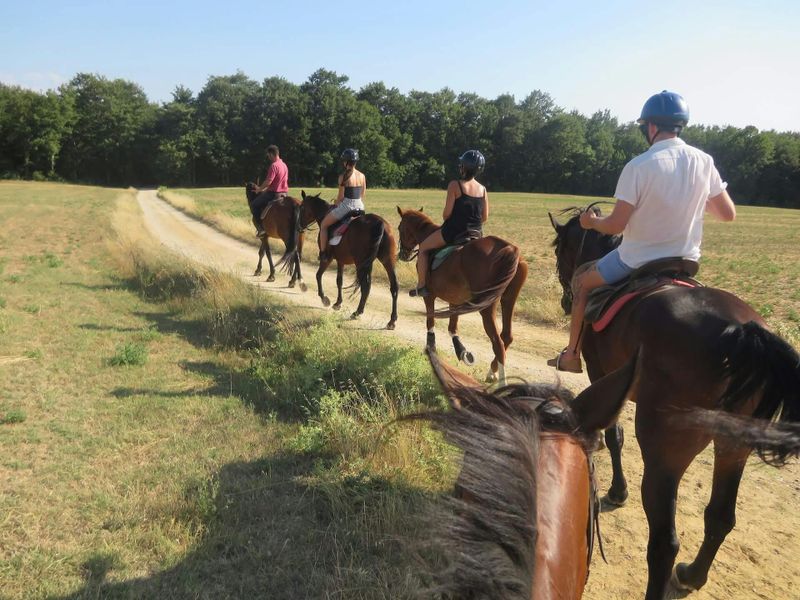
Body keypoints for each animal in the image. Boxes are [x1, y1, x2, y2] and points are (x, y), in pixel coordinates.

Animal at [292, 191, 399, 329]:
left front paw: (324, 298)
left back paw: (357, 312)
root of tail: (379, 222)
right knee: (393, 287)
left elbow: (319, 275)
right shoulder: (341, 261)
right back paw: (392, 320)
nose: (299, 227)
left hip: (361, 262)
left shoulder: (328, 258)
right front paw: (338, 303)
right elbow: (339, 281)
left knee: (365, 286)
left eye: (302, 208)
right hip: (386, 261)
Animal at [396, 207, 528, 385]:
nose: (402, 254)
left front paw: (431, 346)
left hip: (487, 306)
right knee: (506, 336)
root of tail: (509, 249)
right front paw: (461, 351)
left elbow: (430, 320)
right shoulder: (455, 299)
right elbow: (453, 326)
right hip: (508, 299)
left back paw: (502, 381)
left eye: (399, 228)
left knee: (498, 342)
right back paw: (491, 372)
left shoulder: (429, 295)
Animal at [549, 206, 800, 599]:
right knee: (720, 517)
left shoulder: (600, 372)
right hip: (734, 445)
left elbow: (614, 437)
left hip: (665, 452)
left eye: (560, 250)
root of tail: (741, 334)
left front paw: (617, 491)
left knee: (664, 542)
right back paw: (692, 575)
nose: (565, 300)